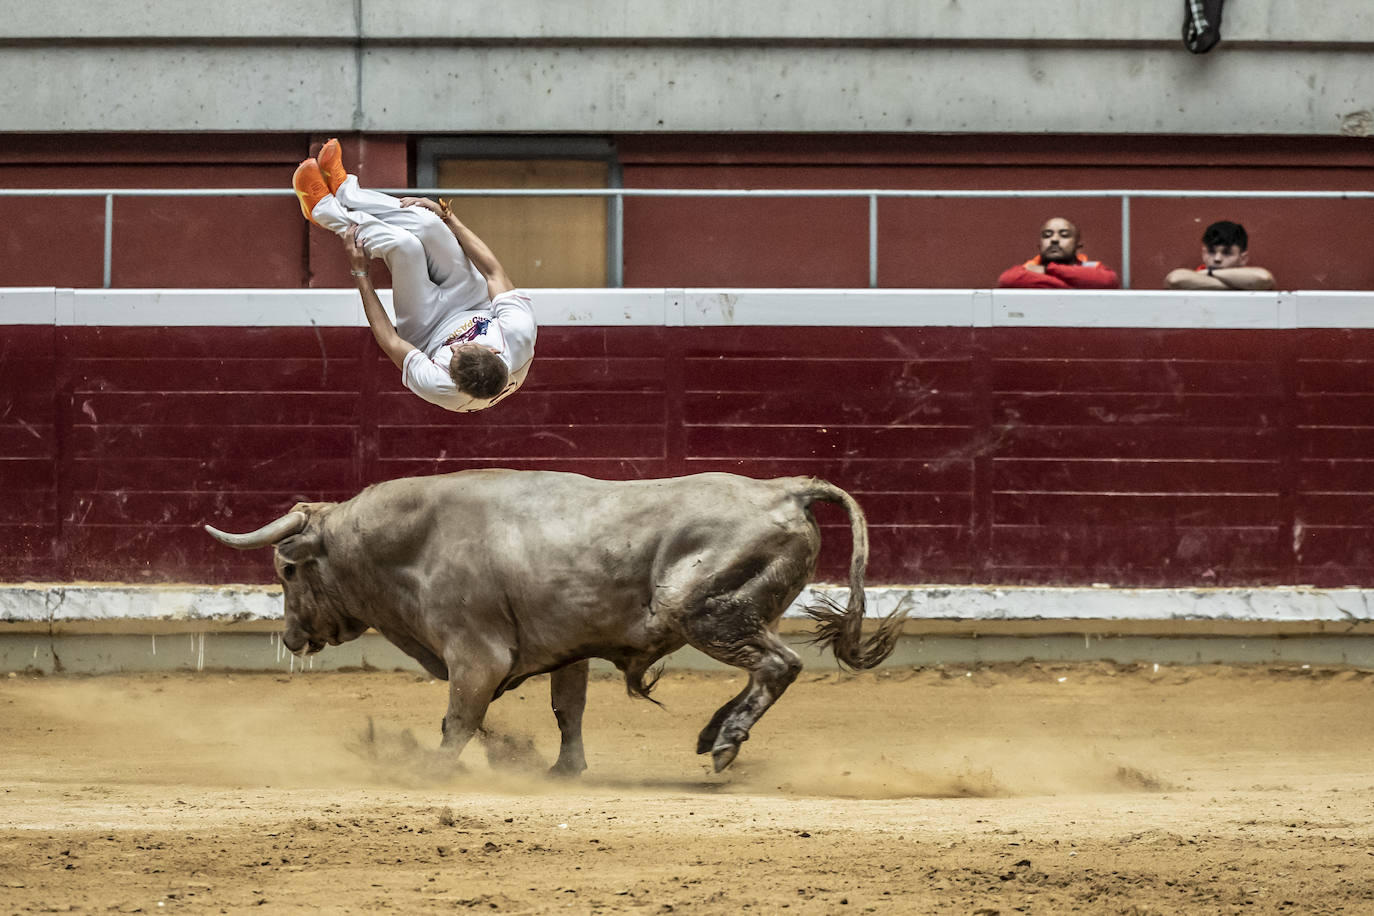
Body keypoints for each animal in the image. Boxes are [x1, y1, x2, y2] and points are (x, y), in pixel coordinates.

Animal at [203, 469, 906, 780]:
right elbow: (567, 709)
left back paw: (726, 739)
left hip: (704, 611)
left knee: (779, 664)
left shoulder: (474, 654)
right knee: (769, 667)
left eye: (287, 571)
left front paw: (430, 771)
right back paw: (714, 733)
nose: (292, 638)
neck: (413, 540)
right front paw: (561, 771)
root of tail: (782, 489)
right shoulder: (568, 650)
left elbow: (460, 716)